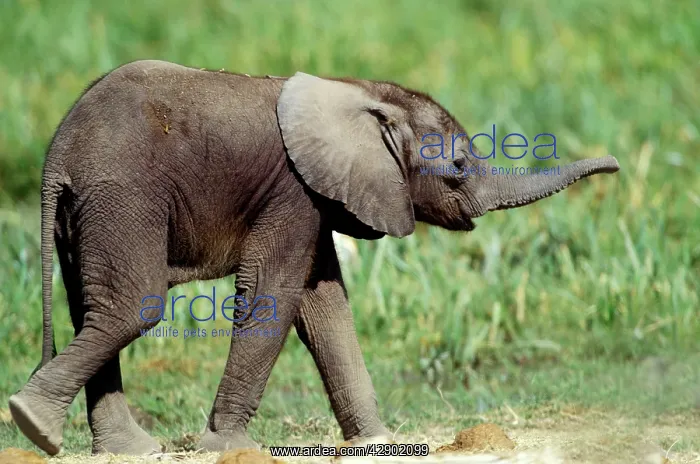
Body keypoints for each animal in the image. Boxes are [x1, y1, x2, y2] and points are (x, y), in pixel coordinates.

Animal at [9, 59, 619, 456]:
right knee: (132, 307)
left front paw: (381, 442)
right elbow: (273, 294)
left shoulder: (322, 193)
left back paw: (120, 447)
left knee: (89, 310)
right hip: (123, 194)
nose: (614, 164)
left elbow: (324, 305)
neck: (355, 91)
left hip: (86, 212)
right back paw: (33, 423)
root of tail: (57, 155)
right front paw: (228, 447)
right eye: (460, 167)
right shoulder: (292, 190)